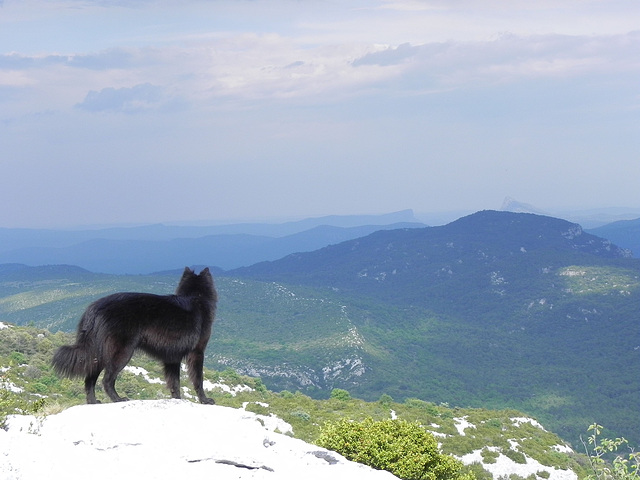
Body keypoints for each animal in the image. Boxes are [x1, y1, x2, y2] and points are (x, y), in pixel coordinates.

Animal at [52, 268, 218, 404]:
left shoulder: (172, 358)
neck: (196, 297)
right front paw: (204, 400)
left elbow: (174, 383)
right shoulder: (197, 353)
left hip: (98, 354)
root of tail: (95, 308)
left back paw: (93, 402)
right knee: (106, 380)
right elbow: (198, 380)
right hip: (122, 353)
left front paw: (177, 400)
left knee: (89, 379)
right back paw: (118, 399)